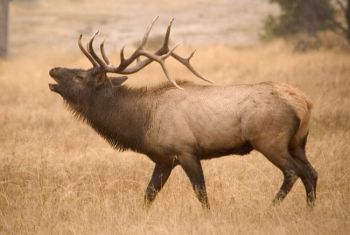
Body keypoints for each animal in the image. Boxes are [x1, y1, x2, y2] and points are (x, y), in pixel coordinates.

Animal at [47, 16, 318, 208]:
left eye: (80, 76)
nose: (53, 70)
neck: (141, 124)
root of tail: (304, 102)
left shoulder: (186, 150)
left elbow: (201, 193)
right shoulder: (164, 159)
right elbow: (148, 194)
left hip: (270, 140)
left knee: (293, 172)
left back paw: (271, 206)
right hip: (298, 142)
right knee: (311, 172)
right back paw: (309, 209)